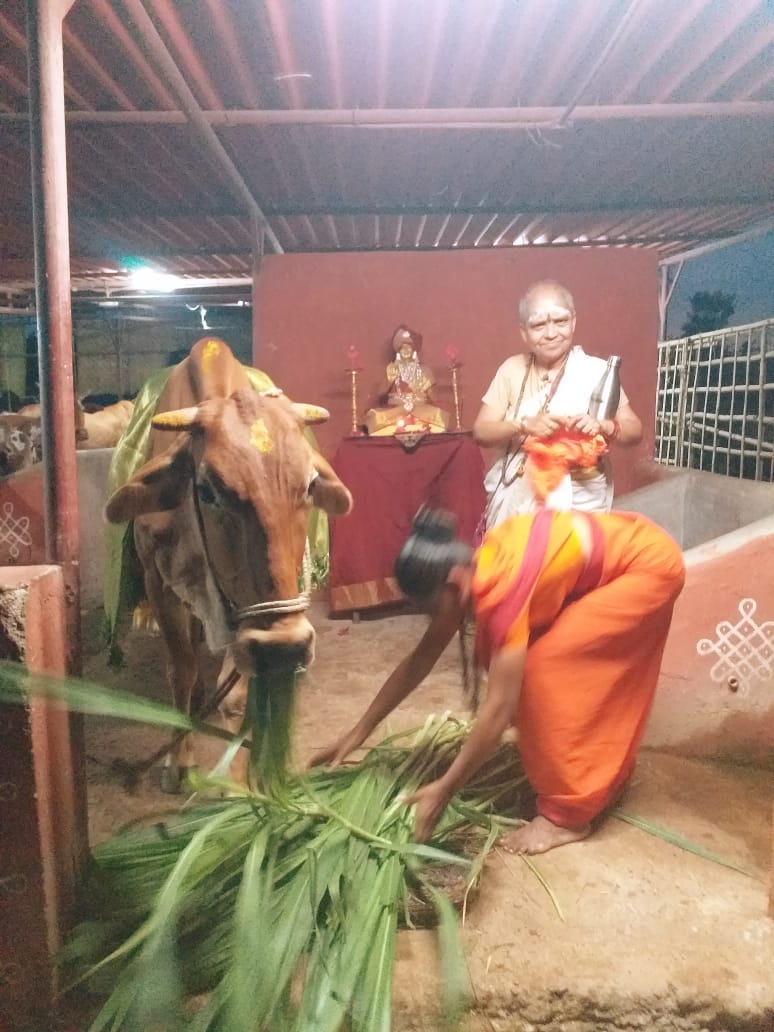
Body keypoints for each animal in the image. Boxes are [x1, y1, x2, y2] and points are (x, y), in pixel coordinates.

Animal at [104, 337, 352, 791]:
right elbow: (180, 668)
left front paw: (241, 781)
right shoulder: (159, 583)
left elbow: (236, 694)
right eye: (207, 489)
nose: (285, 649)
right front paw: (179, 762)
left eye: (310, 484)